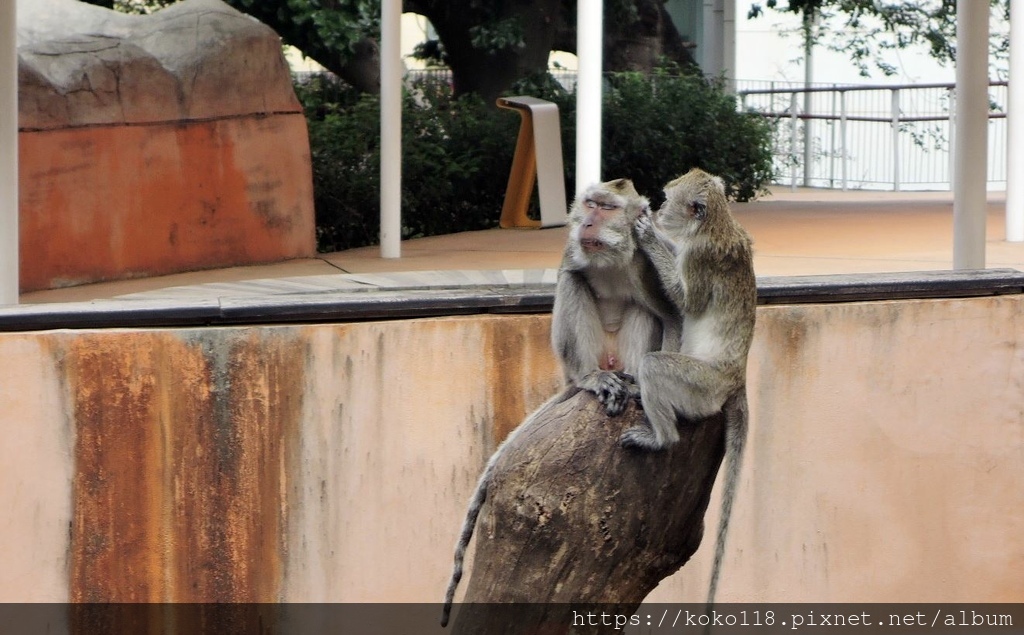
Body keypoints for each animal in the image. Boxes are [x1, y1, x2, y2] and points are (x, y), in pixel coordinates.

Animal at [442, 177, 675, 626]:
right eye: (590, 203)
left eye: (606, 207)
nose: (586, 221)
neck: (612, 256)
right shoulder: (573, 251)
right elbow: (570, 277)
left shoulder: (653, 258)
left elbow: (670, 312)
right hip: (584, 357)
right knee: (576, 286)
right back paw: (591, 380)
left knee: (642, 309)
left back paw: (635, 382)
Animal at [618, 166, 757, 606]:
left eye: (667, 199)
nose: (659, 210)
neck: (714, 224)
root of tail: (735, 379)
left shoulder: (699, 257)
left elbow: (687, 303)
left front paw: (647, 233)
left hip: (701, 387)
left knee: (657, 368)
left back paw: (661, 438)